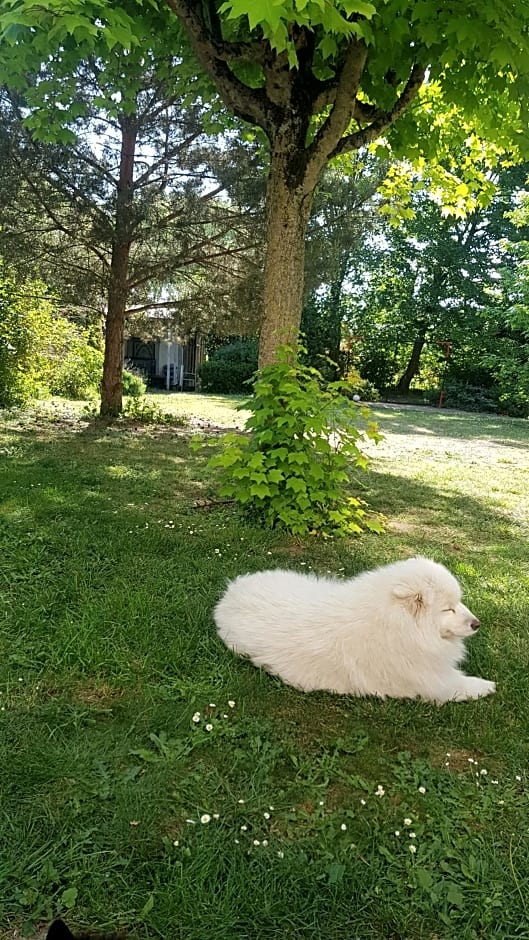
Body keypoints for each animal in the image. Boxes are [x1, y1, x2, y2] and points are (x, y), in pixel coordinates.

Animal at [213, 556, 496, 700]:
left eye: (458, 603)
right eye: (448, 609)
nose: (477, 624)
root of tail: (230, 593)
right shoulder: (432, 684)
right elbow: (462, 685)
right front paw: (487, 686)